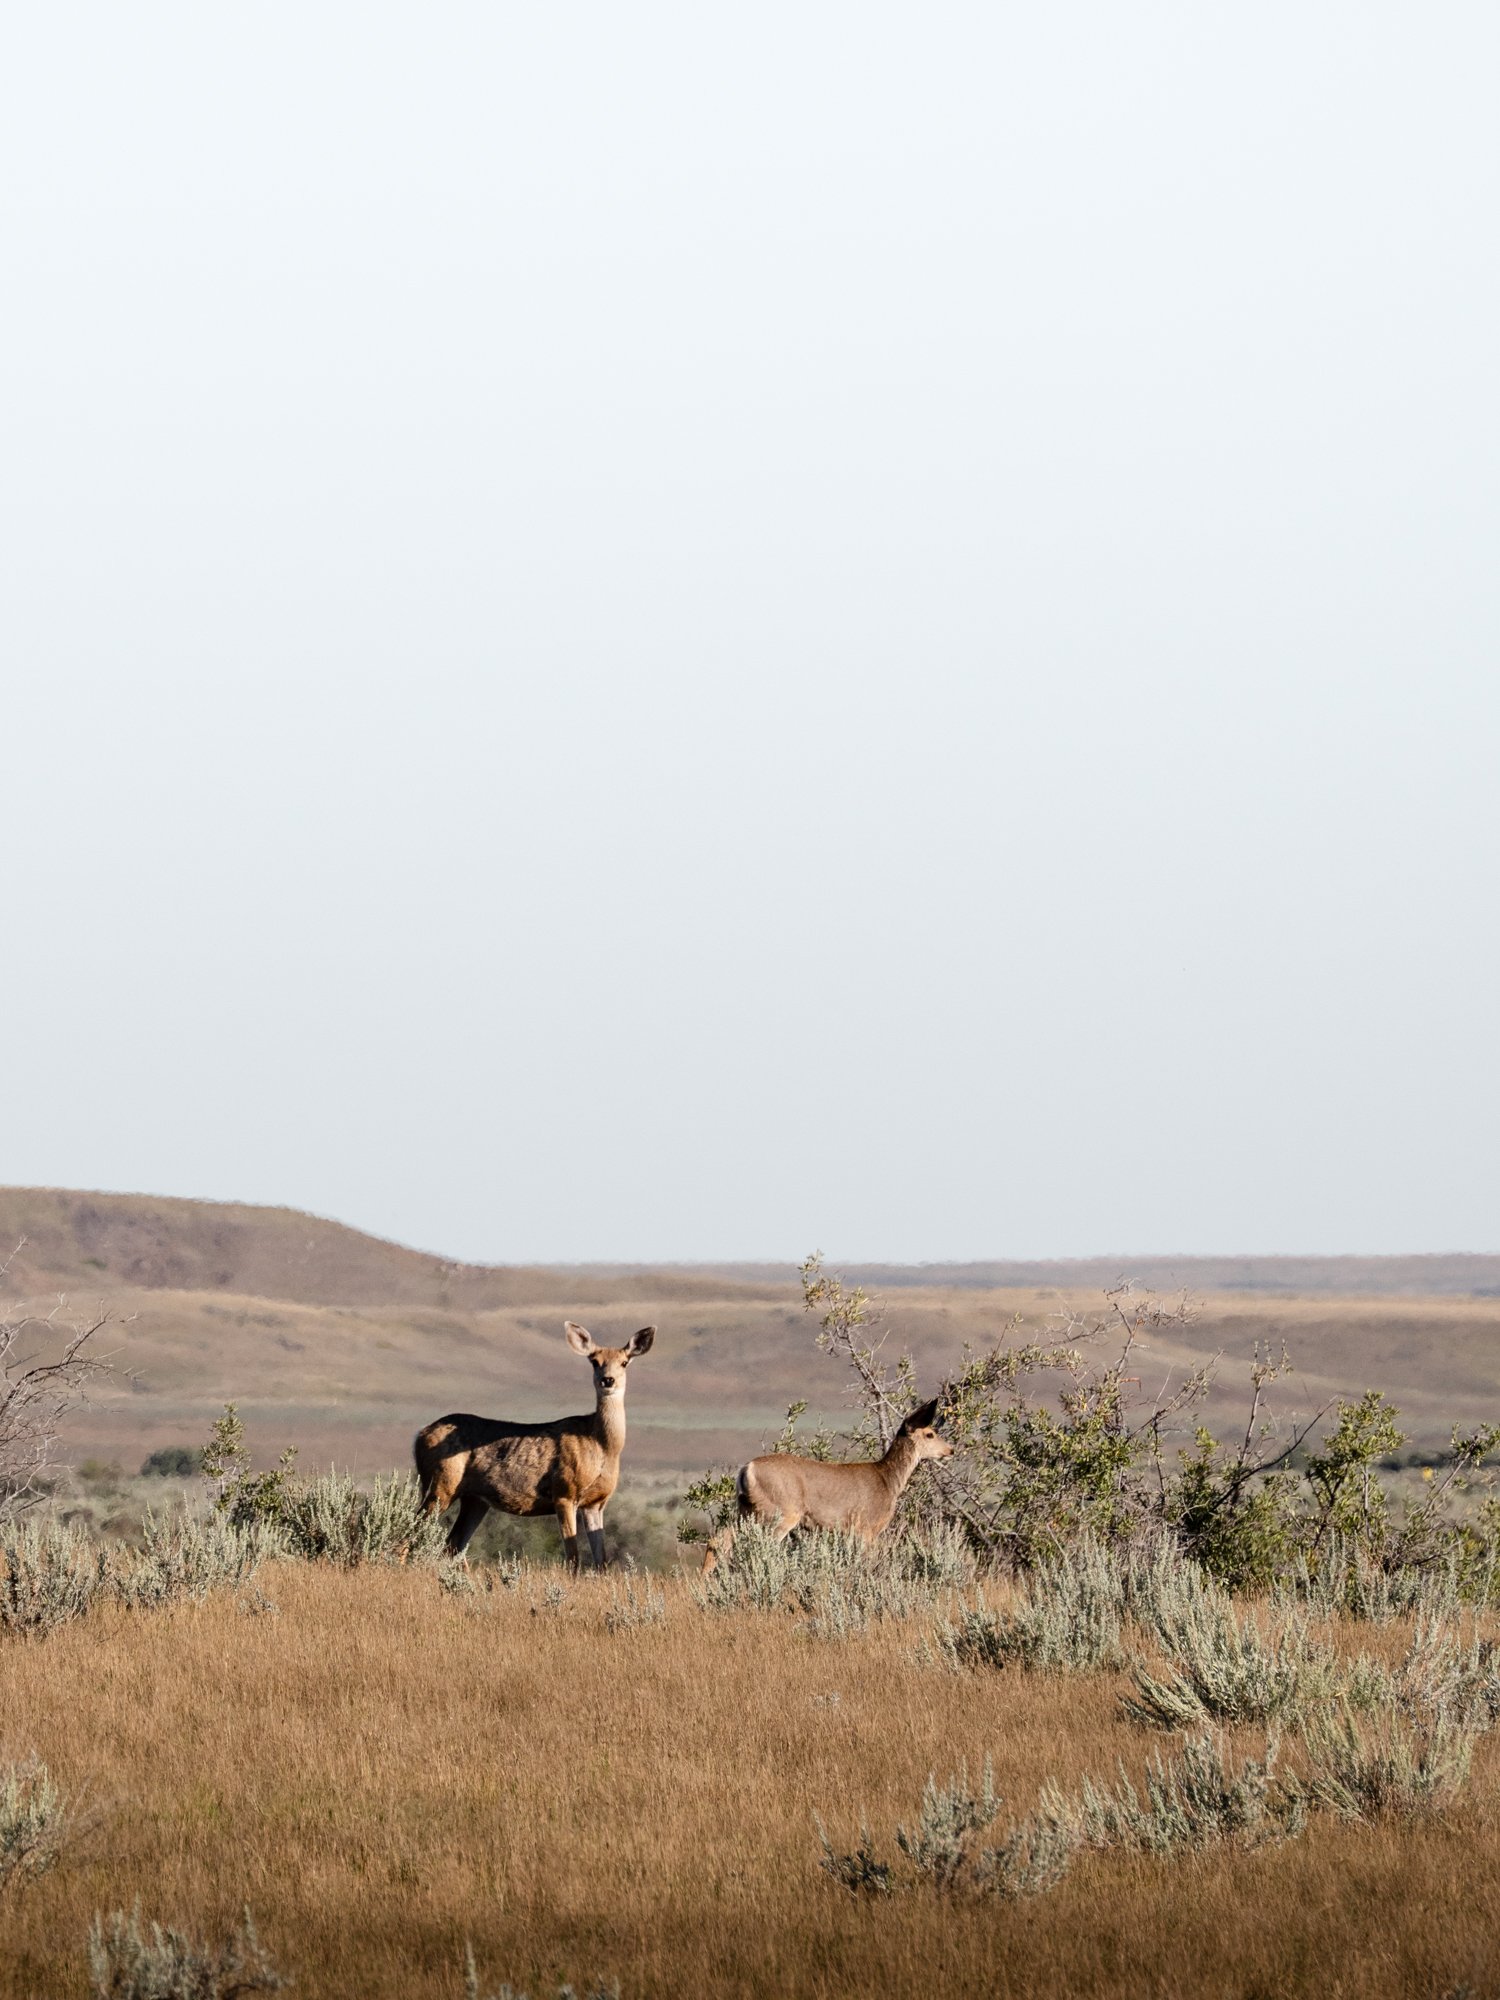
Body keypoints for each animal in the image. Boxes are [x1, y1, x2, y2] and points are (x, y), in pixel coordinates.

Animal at [413, 1320, 655, 1571]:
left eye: (624, 1362)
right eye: (595, 1361)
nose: (607, 1380)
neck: (601, 1445)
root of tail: (420, 1434)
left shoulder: (596, 1503)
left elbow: (602, 1560)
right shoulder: (564, 1492)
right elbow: (573, 1557)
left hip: (474, 1499)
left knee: (453, 1543)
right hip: (441, 1484)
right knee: (414, 1532)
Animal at [700, 1394, 953, 1574]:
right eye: (930, 1434)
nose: (950, 1450)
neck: (888, 1480)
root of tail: (746, 1469)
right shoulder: (866, 1527)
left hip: (746, 1509)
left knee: (719, 1539)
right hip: (780, 1511)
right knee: (760, 1546)